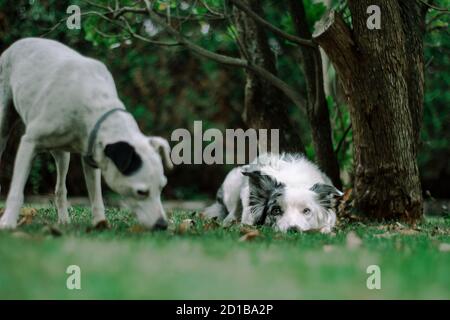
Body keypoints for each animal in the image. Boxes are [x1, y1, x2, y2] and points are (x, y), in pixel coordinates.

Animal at [0, 38, 172, 230]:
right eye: (141, 192)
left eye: (162, 187)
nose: (162, 224)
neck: (90, 99)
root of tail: (19, 43)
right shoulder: (29, 143)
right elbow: (16, 191)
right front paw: (8, 222)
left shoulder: (93, 151)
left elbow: (96, 196)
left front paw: (100, 223)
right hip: (3, 121)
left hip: (62, 155)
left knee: (61, 187)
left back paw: (63, 220)